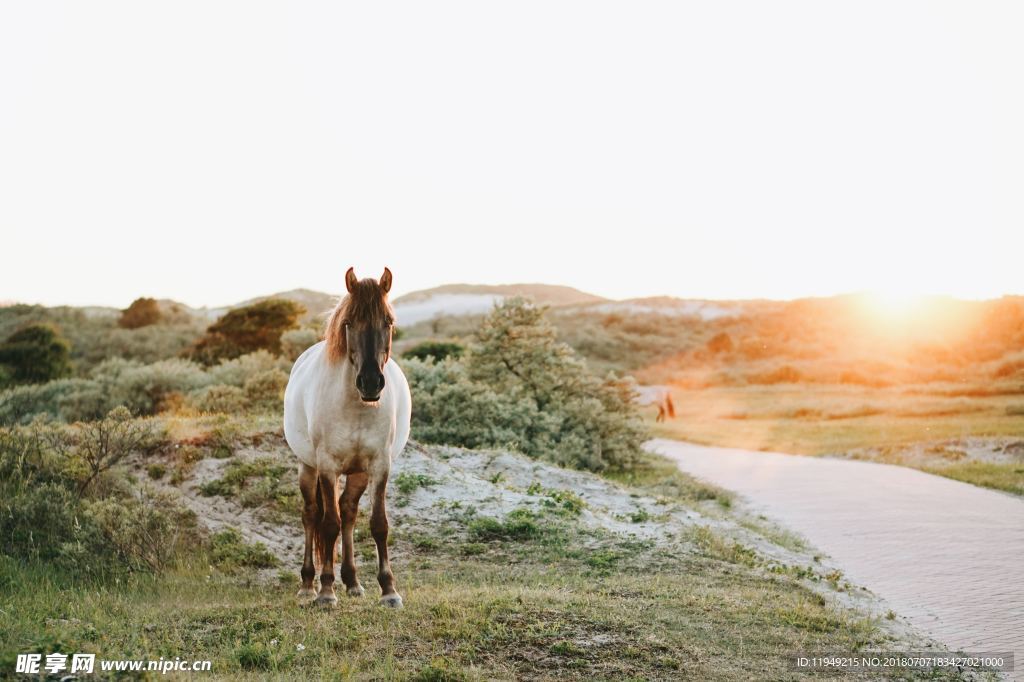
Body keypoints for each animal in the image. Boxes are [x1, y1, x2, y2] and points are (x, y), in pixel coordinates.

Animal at [284, 266, 411, 606]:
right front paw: (326, 592)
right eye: (349, 323)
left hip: (358, 473)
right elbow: (329, 524)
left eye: (388, 322)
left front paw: (389, 590)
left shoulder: (380, 466)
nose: (370, 382)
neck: (357, 406)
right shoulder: (328, 466)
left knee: (350, 512)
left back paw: (353, 581)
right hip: (308, 466)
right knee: (312, 515)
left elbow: (378, 524)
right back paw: (308, 584)